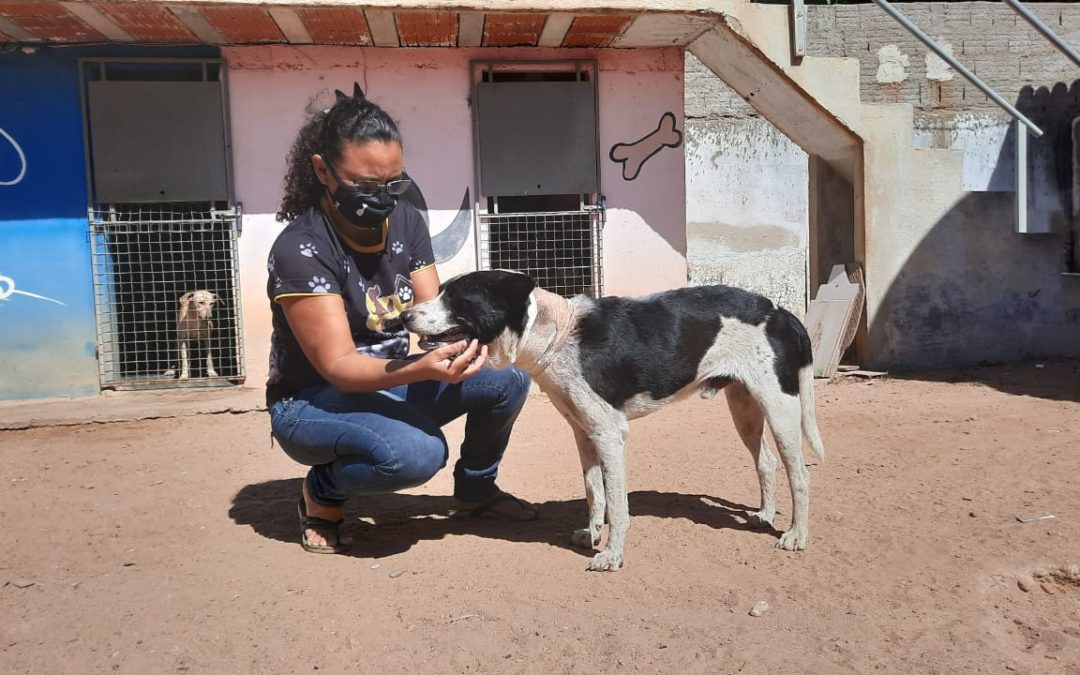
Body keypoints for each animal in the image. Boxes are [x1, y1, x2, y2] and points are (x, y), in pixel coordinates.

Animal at [401, 268, 820, 570]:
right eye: (440, 291)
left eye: (458, 298)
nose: (403, 315)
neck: (555, 335)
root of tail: (781, 312)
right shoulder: (583, 432)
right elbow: (593, 492)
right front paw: (591, 535)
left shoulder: (610, 433)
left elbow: (617, 504)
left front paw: (612, 555)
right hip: (745, 407)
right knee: (765, 461)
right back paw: (763, 514)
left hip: (780, 407)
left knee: (799, 473)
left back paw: (797, 535)